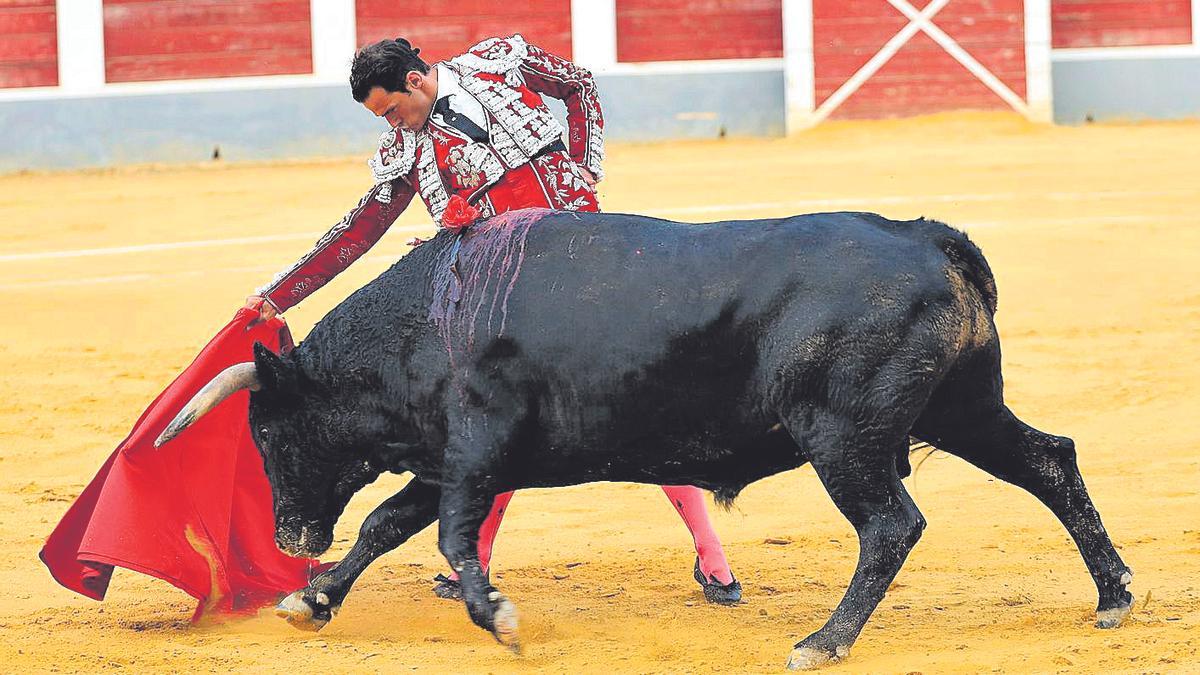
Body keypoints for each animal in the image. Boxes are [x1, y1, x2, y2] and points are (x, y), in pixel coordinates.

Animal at [154, 208, 1128, 667]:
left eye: (269, 430)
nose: (289, 536)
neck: (425, 319)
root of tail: (927, 238)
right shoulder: (448, 458)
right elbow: (385, 524)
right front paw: (312, 598)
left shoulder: (475, 449)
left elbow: (447, 534)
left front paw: (497, 617)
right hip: (958, 409)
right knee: (1049, 460)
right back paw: (1113, 594)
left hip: (845, 435)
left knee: (892, 525)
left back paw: (822, 640)